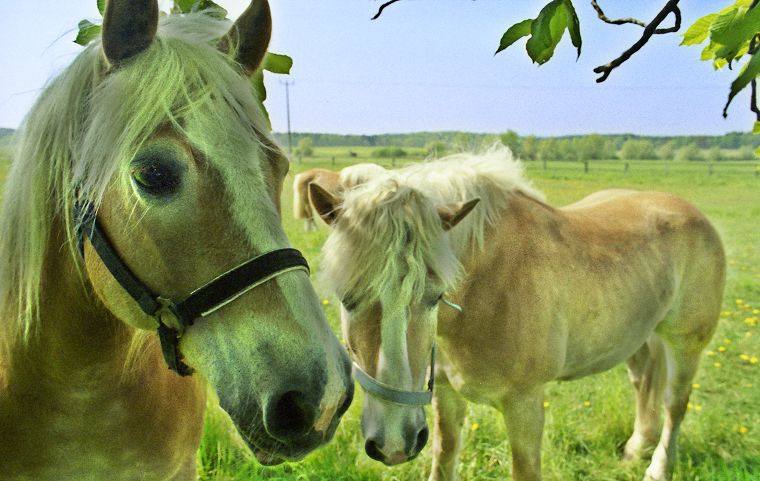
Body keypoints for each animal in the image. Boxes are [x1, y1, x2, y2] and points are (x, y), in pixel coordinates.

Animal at [309, 147, 725, 481]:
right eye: (347, 298)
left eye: (436, 296)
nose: (395, 443)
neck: (490, 284)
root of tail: (692, 212)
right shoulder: (446, 395)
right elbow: (444, 457)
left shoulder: (525, 406)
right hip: (639, 336)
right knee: (644, 381)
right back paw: (637, 447)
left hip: (686, 345)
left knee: (674, 403)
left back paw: (658, 467)